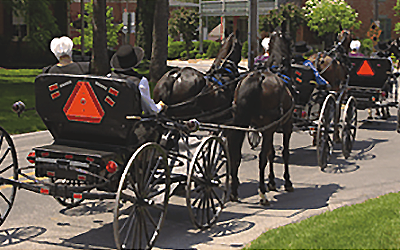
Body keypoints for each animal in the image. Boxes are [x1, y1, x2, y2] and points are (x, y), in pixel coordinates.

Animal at [228, 27, 294, 205]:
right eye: (289, 42)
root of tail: (257, 77)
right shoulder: (286, 125)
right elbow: (283, 153)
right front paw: (287, 182)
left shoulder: (266, 128)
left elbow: (272, 153)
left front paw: (271, 181)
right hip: (269, 127)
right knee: (261, 157)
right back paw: (262, 193)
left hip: (242, 124)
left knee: (236, 154)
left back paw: (234, 191)